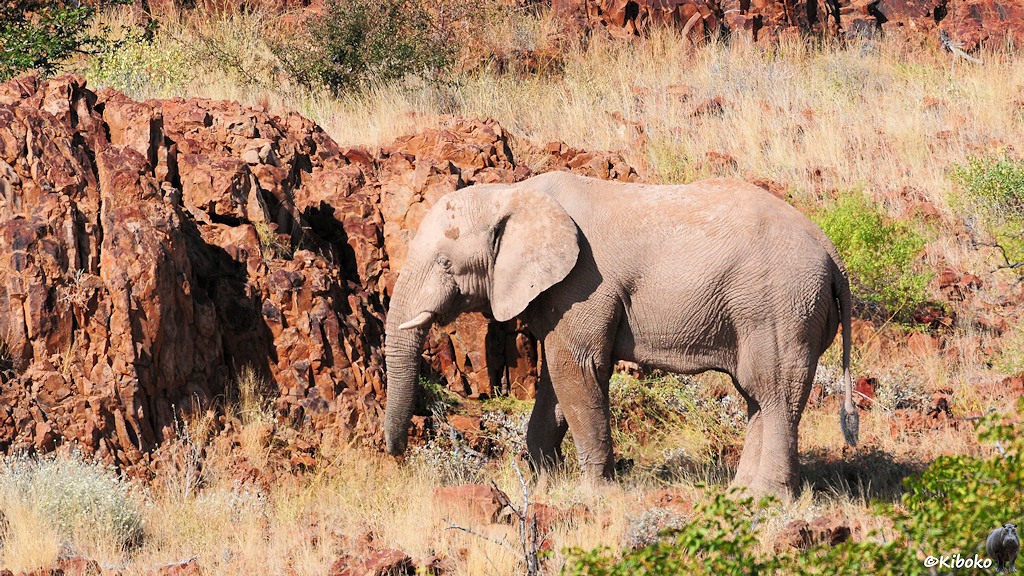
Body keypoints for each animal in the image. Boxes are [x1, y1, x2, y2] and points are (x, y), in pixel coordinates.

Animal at [383, 170, 858, 499]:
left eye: (445, 263)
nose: (396, 453)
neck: (514, 192)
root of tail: (831, 252)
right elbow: (557, 385)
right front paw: (545, 485)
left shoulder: (582, 284)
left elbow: (577, 370)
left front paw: (593, 494)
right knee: (757, 395)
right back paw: (740, 493)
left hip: (780, 305)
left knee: (773, 391)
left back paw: (765, 499)